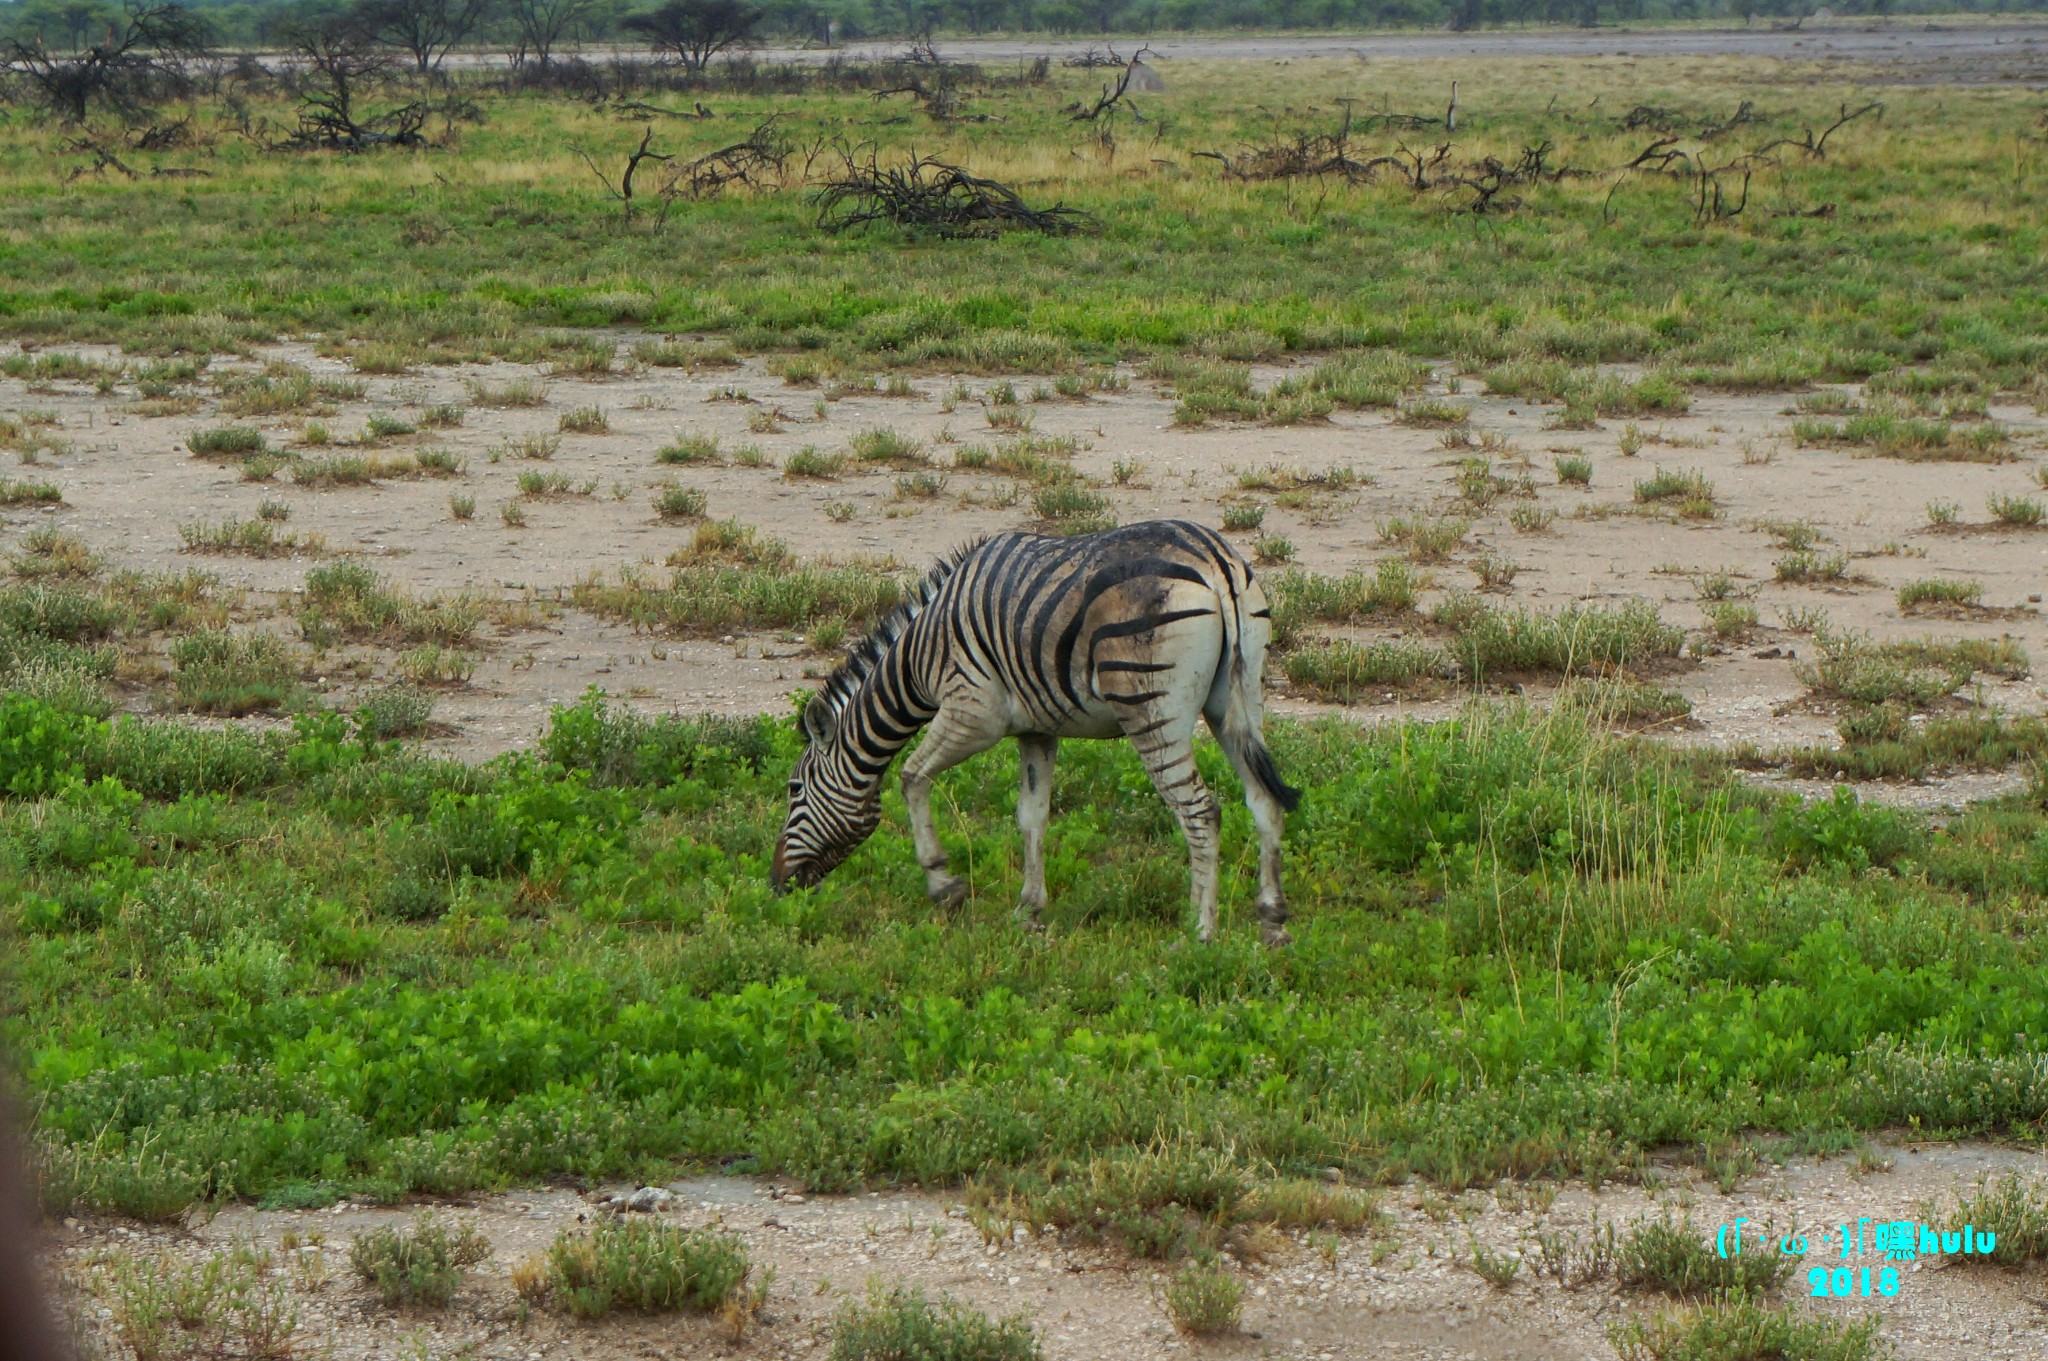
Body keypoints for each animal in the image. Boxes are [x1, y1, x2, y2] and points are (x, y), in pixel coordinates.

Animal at [770, 519, 1294, 945]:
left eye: (794, 789)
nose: (776, 884)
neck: (920, 653)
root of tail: (1215, 561)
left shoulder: (973, 713)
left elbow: (913, 776)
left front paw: (944, 885)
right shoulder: (1037, 729)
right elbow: (1032, 816)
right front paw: (1029, 910)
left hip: (1151, 708)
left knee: (1200, 812)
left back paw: (1199, 933)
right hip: (1238, 701)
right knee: (1264, 798)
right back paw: (1272, 921)